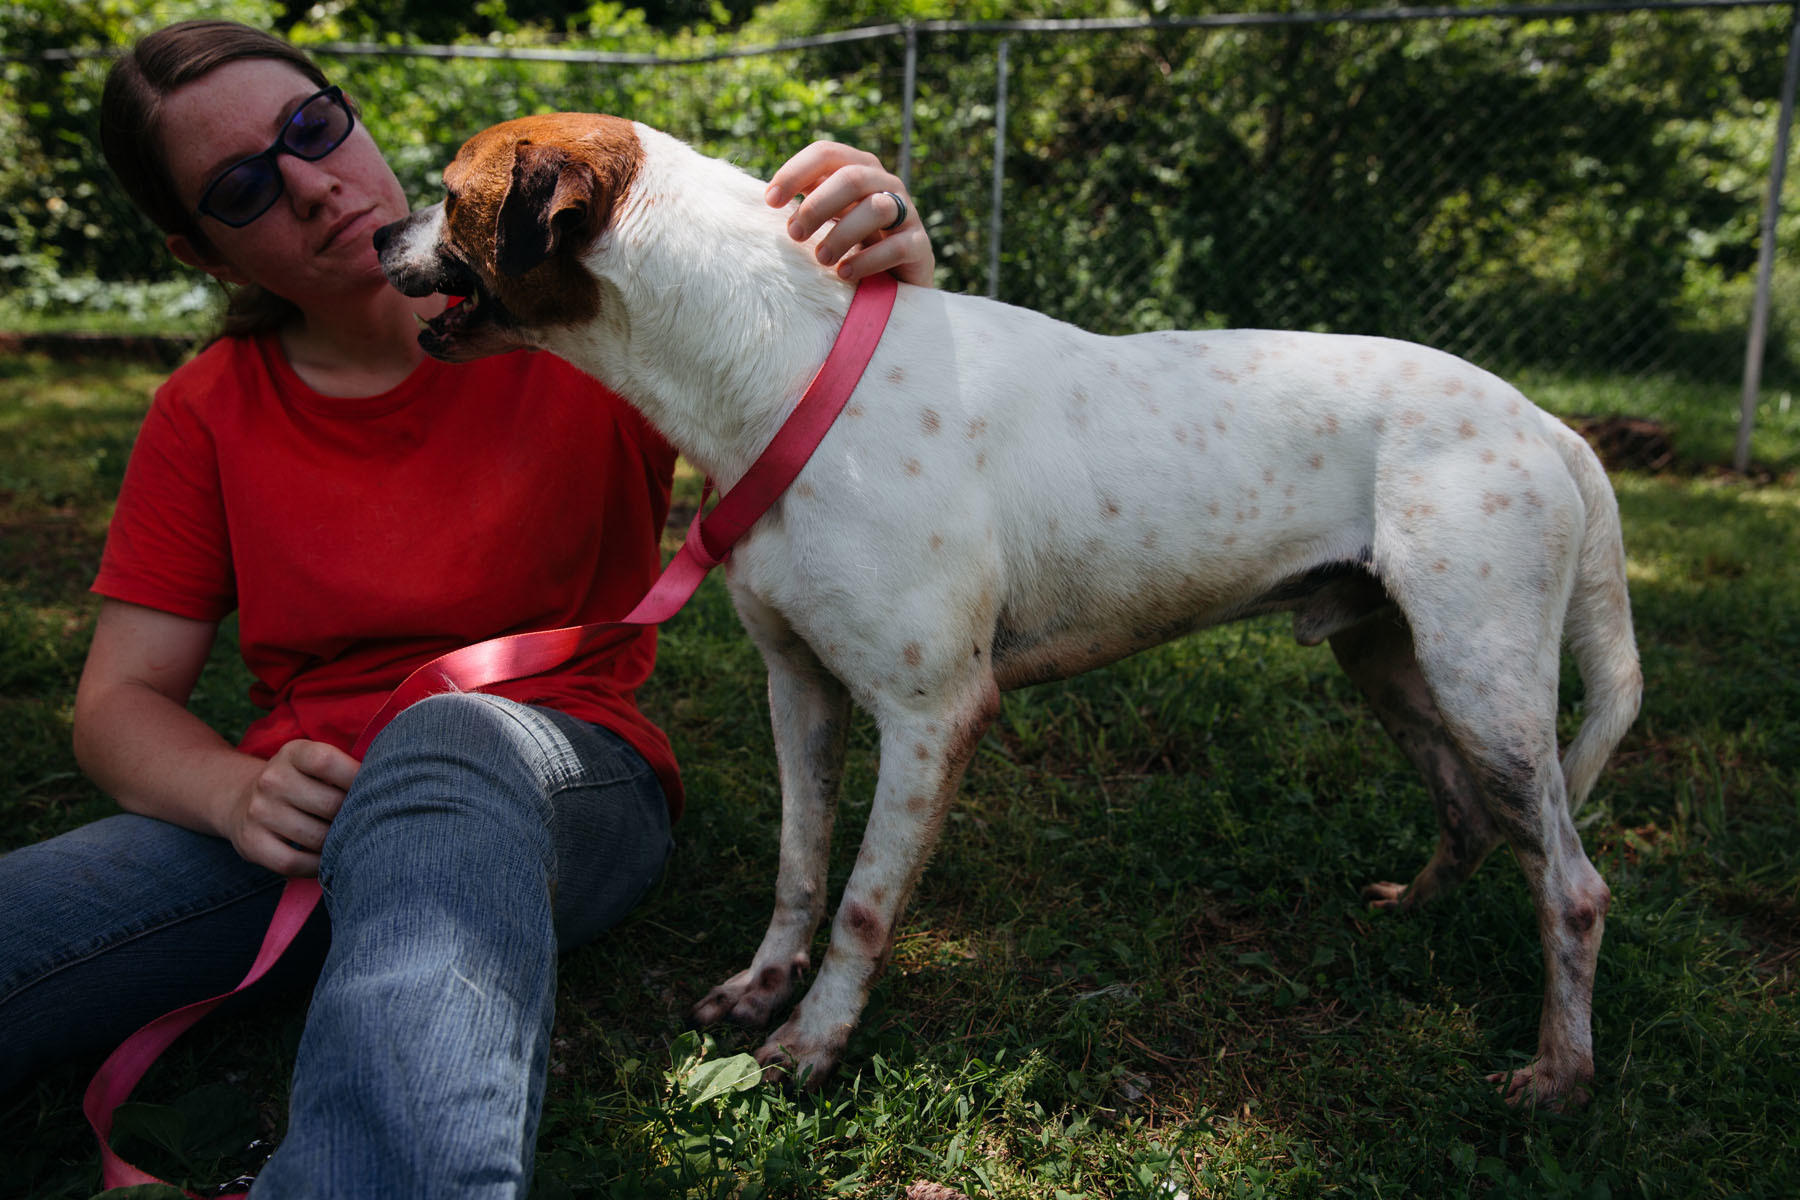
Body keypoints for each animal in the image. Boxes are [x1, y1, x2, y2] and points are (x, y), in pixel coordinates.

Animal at [379, 112, 1648, 1108]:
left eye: (446, 191)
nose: (381, 234)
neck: (779, 365)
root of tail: (1544, 421)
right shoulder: (799, 686)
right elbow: (800, 869)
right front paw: (763, 990)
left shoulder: (934, 714)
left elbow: (863, 907)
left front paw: (815, 1044)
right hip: (1392, 663)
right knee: (1470, 816)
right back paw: (1412, 913)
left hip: (1486, 682)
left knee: (1575, 887)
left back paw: (1560, 1073)